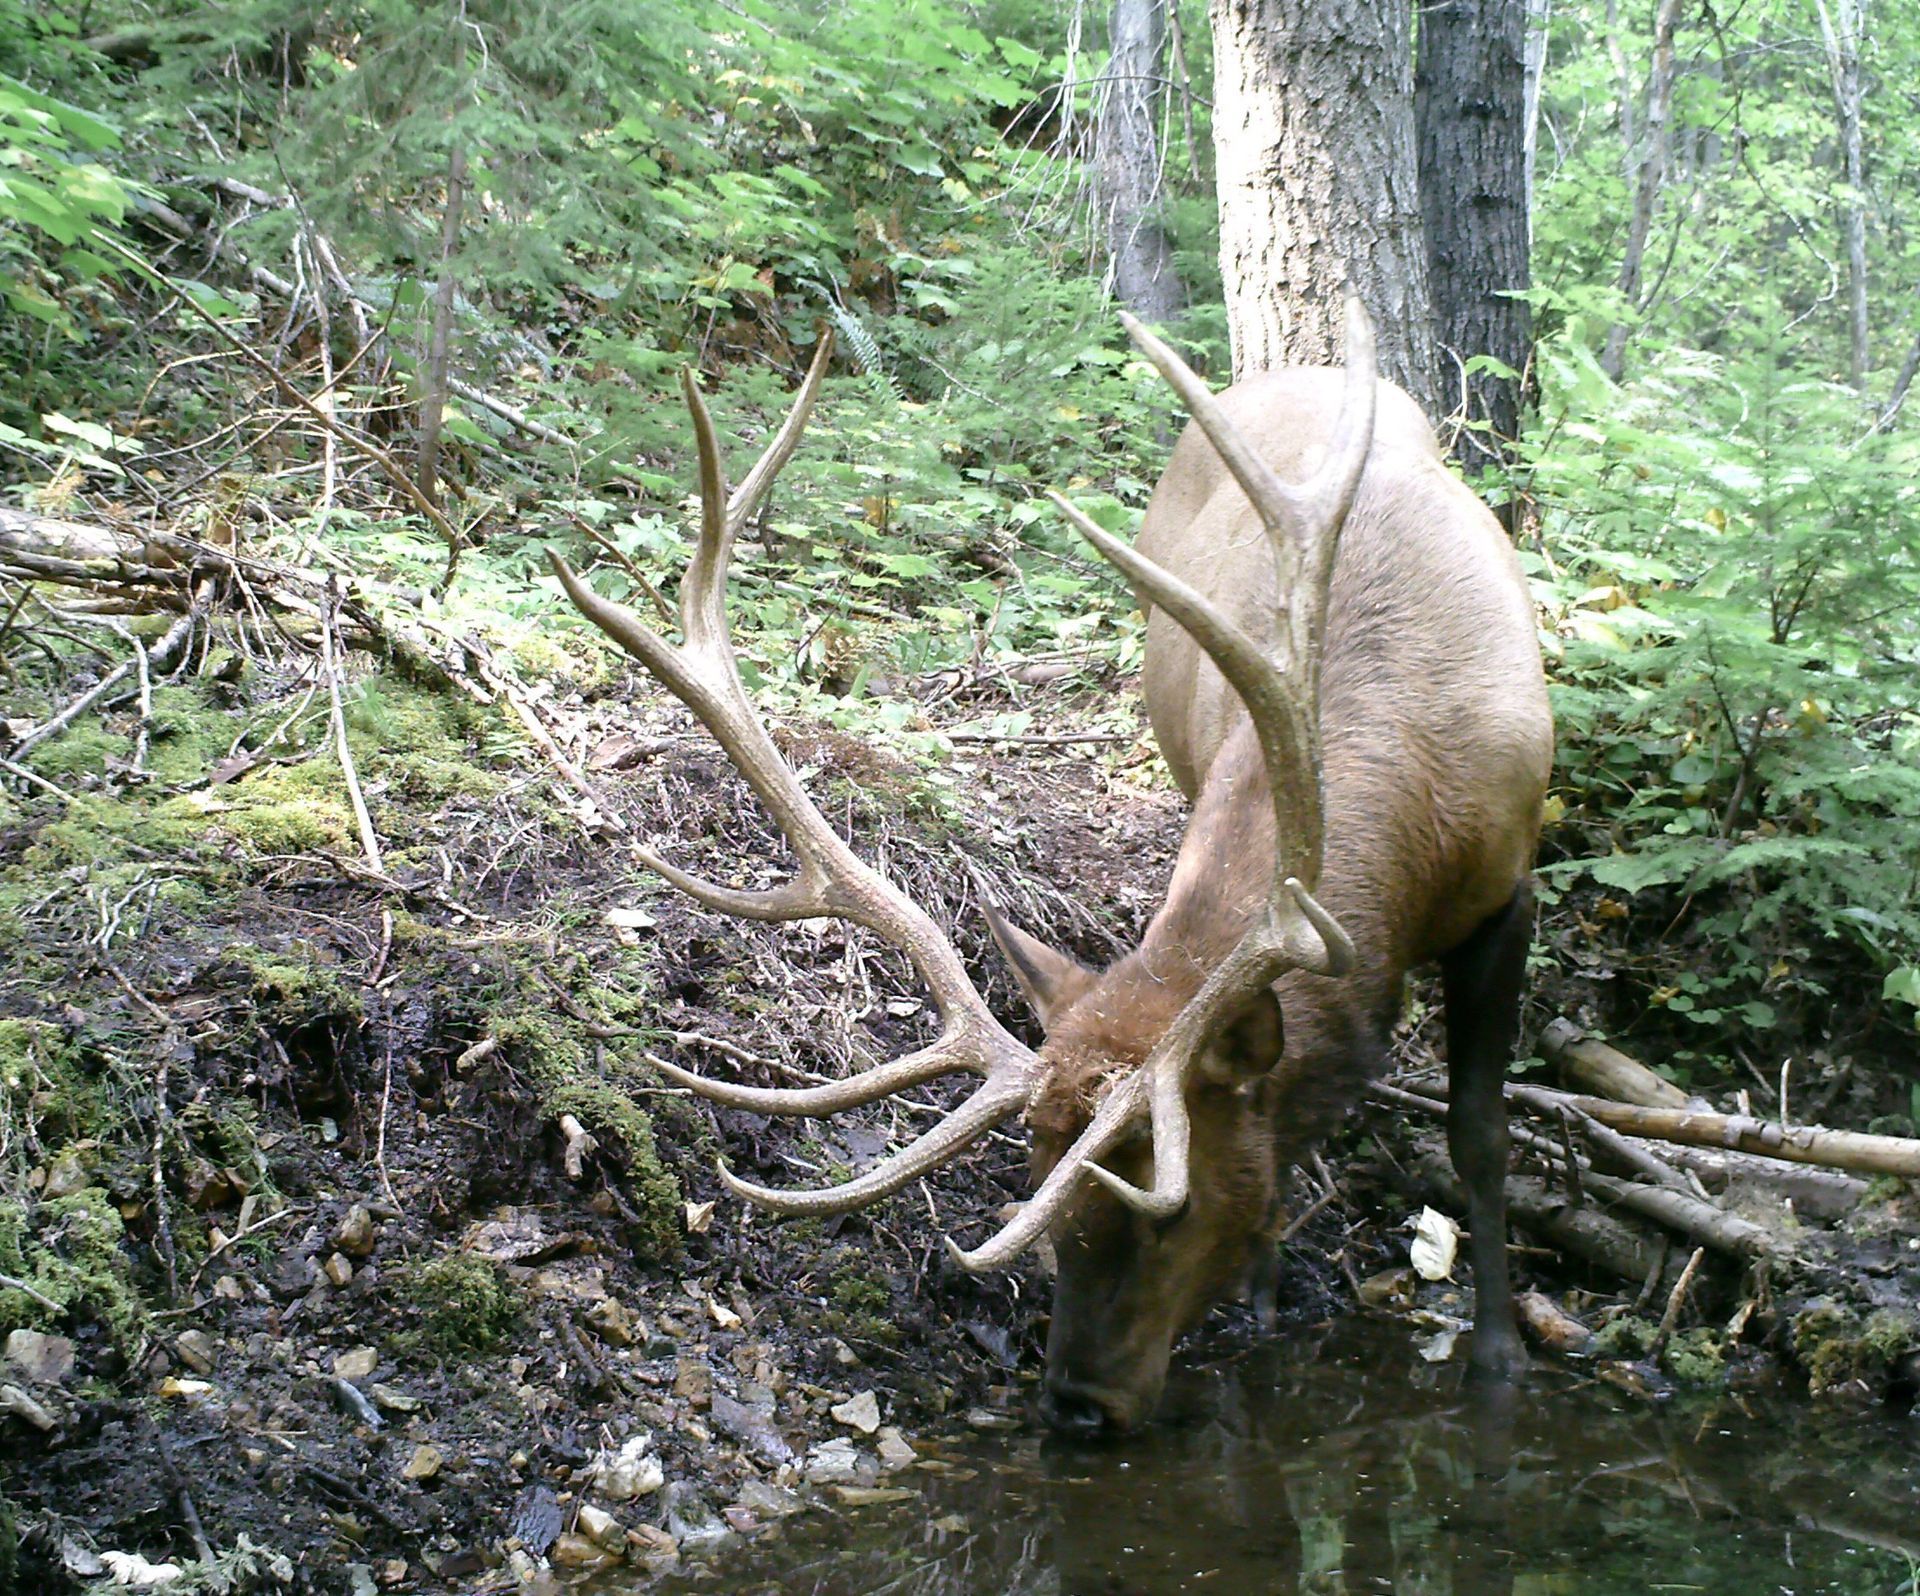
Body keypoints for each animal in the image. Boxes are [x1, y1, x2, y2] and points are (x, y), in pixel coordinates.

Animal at [547, 300, 1554, 1436]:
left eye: (1171, 1208)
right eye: (1032, 1168)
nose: (1077, 1406)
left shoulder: (1509, 883)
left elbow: (1480, 1132)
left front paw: (1500, 1355)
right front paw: (1263, 1295)